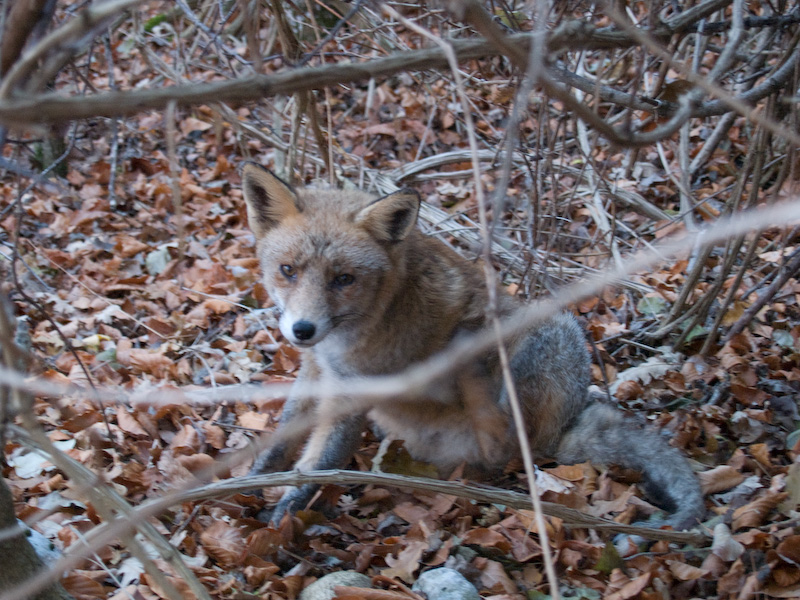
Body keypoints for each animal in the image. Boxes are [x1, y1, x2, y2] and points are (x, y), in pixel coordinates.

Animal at [241, 163, 704, 528]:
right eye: (288, 270)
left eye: (343, 279)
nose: (302, 329)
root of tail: (561, 432)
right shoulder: (316, 369)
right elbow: (281, 441)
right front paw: (251, 482)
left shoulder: (352, 390)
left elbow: (320, 462)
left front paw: (286, 511)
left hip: (551, 334)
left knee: (504, 446)